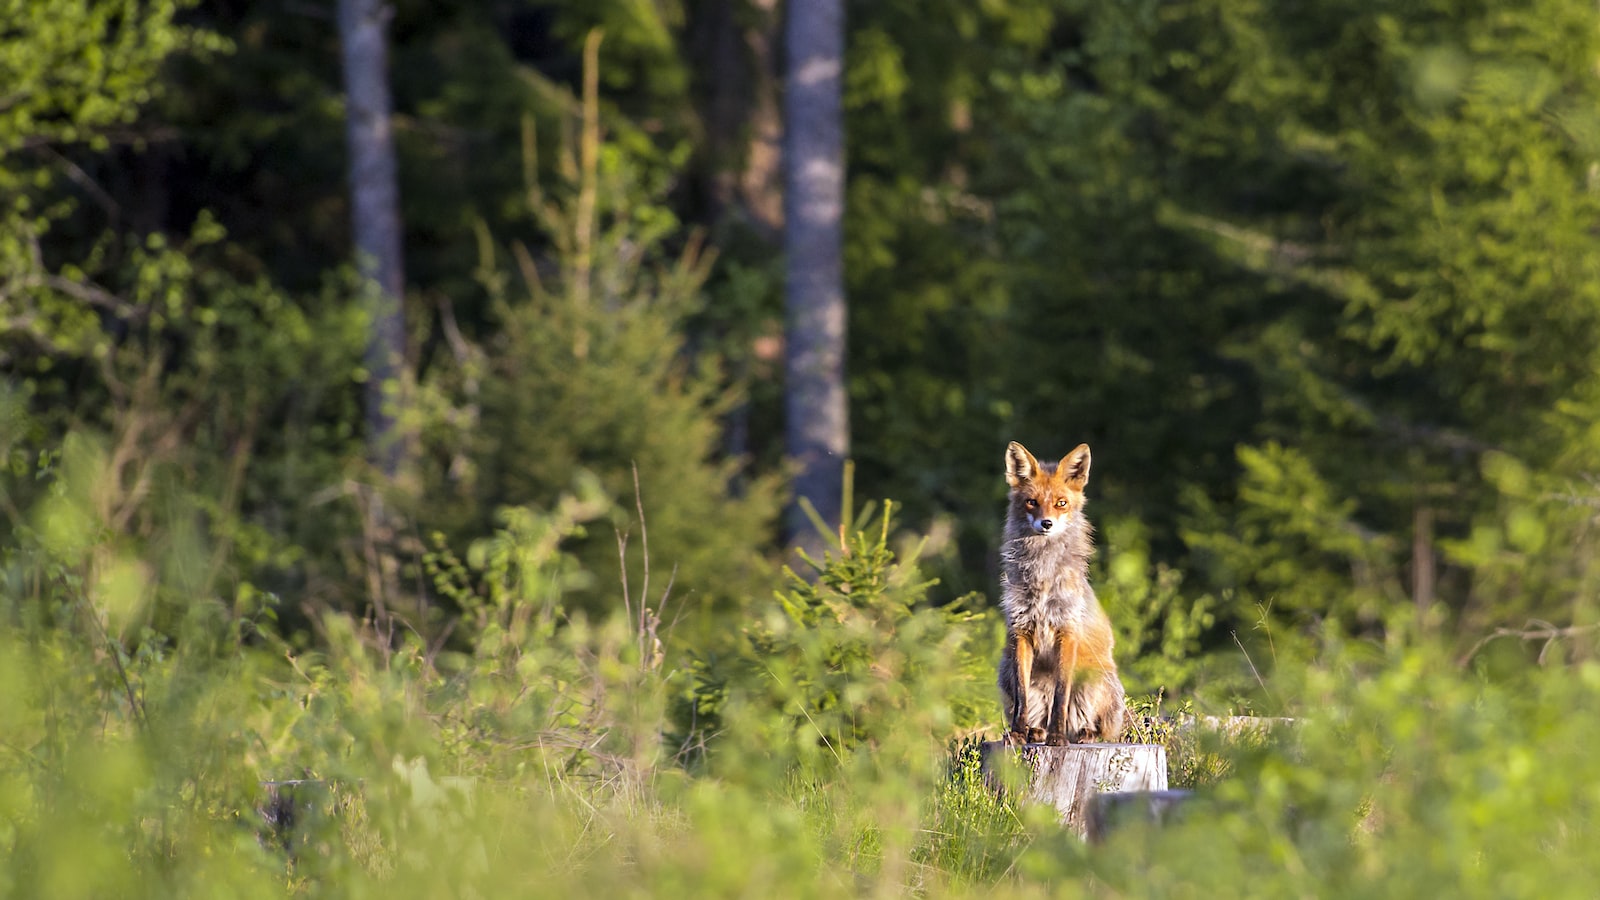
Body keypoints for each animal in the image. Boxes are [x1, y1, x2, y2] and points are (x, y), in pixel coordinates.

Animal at [998, 438, 1126, 743]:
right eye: (1031, 502)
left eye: (1061, 503)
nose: (1046, 524)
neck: (1043, 577)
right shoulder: (1021, 630)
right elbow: (1022, 697)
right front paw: (1018, 733)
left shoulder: (1066, 631)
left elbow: (1061, 696)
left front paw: (1057, 738)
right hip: (1005, 668)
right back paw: (1035, 731)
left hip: (1096, 679)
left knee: (1100, 727)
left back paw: (1082, 733)